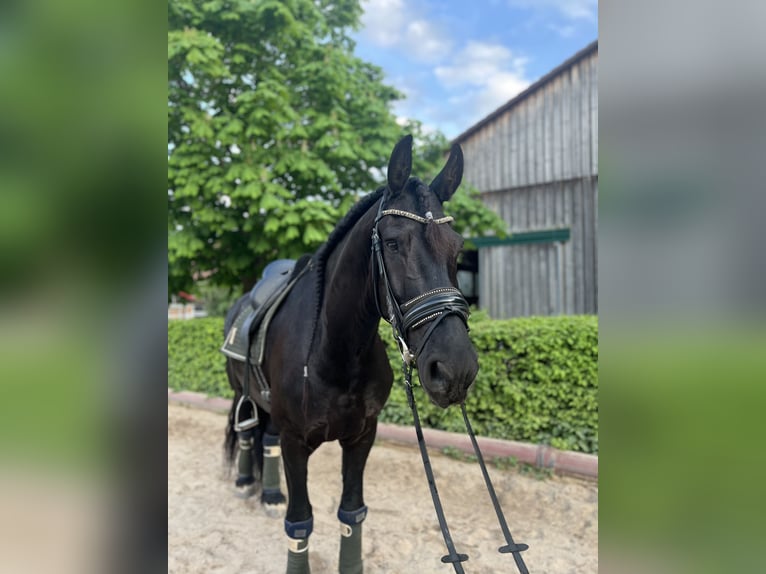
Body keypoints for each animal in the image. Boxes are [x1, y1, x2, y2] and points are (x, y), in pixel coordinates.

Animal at [222, 136, 480, 574]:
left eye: (457, 247)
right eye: (392, 243)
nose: (456, 368)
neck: (333, 354)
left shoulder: (362, 437)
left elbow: (351, 512)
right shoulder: (296, 442)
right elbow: (300, 522)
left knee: (264, 438)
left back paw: (269, 495)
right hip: (242, 392)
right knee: (244, 432)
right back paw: (245, 482)